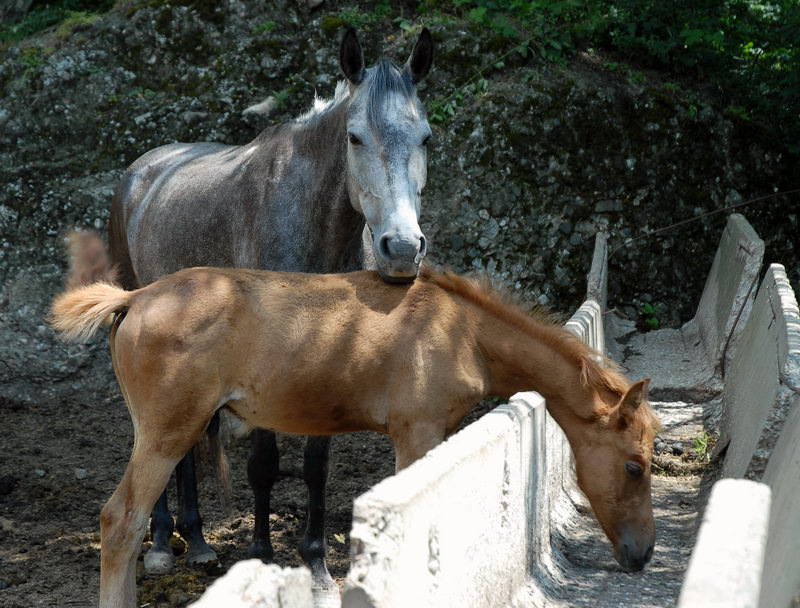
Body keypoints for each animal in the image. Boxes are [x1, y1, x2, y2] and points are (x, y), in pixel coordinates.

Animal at [50, 265, 660, 607]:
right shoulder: (416, 433)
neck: (465, 331)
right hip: (166, 433)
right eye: (635, 466)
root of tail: (133, 299)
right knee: (120, 520)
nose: (643, 555)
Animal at [98, 27, 434, 601]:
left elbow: (316, 466)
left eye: (426, 138)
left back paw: (197, 540)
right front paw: (262, 555)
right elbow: (264, 464)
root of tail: (144, 170)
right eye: (355, 138)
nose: (402, 248)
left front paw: (318, 570)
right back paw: (162, 543)